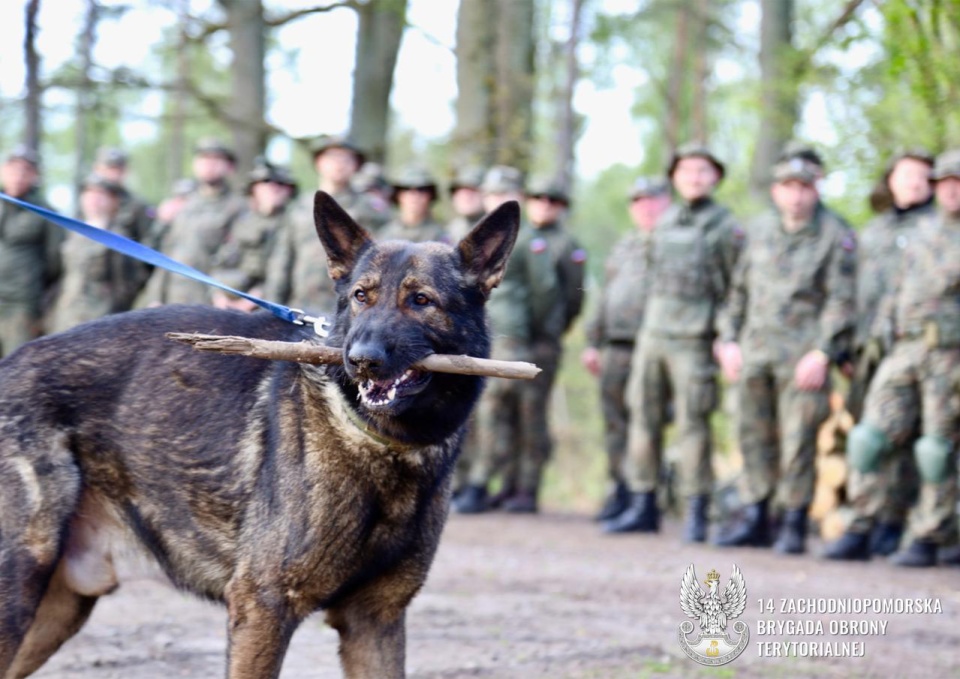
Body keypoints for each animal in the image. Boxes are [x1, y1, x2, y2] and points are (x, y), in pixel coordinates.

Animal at [0, 193, 516, 679]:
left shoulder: (375, 620)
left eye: (421, 300)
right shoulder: (262, 607)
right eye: (360, 296)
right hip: (20, 590)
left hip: (55, 611)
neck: (378, 443)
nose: (360, 360)